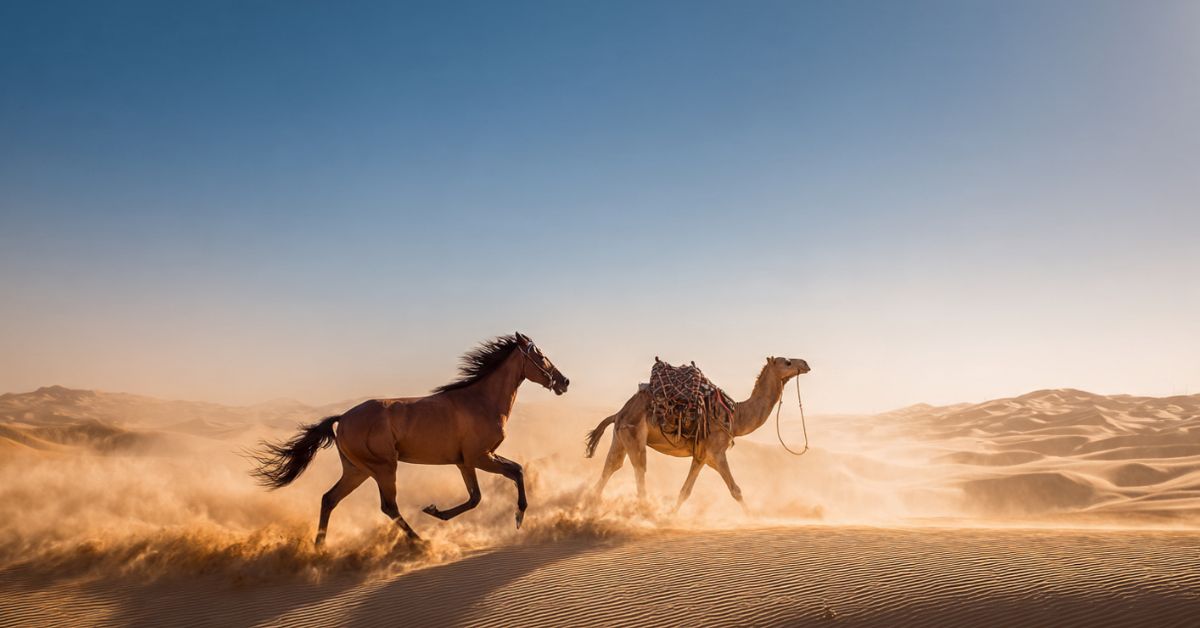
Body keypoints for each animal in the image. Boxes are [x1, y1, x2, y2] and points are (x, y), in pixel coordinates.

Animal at [250, 332, 569, 545]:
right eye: (541, 356)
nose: (564, 382)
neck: (481, 400)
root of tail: (343, 418)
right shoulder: (480, 457)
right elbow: (514, 473)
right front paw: (517, 517)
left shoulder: (465, 462)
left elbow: (477, 496)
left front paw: (436, 511)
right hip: (383, 468)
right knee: (387, 506)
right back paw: (419, 543)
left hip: (357, 470)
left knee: (329, 499)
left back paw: (320, 549)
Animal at [584, 356, 809, 510]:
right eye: (787, 362)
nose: (805, 364)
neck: (736, 416)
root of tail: (618, 413)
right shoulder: (717, 452)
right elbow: (736, 490)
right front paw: (753, 520)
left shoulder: (702, 455)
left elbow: (685, 491)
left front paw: (671, 517)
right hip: (634, 434)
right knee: (639, 469)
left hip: (619, 436)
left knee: (611, 466)